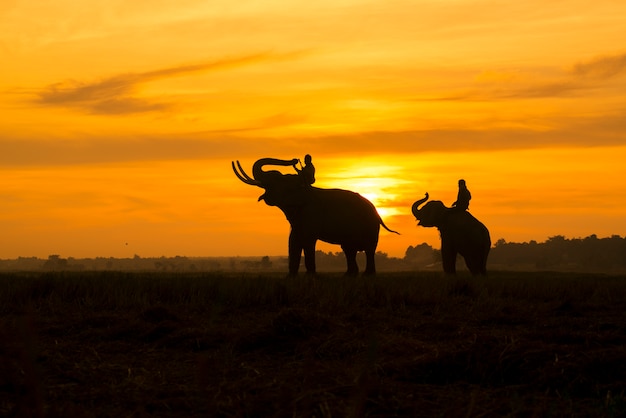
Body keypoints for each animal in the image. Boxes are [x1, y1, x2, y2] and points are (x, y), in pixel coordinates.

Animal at [232, 157, 398, 274]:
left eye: (277, 178)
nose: (293, 159)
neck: (303, 187)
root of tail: (376, 211)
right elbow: (293, 241)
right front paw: (291, 277)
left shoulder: (311, 214)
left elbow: (307, 240)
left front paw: (311, 276)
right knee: (348, 249)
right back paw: (350, 275)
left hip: (370, 227)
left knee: (368, 249)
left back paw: (367, 275)